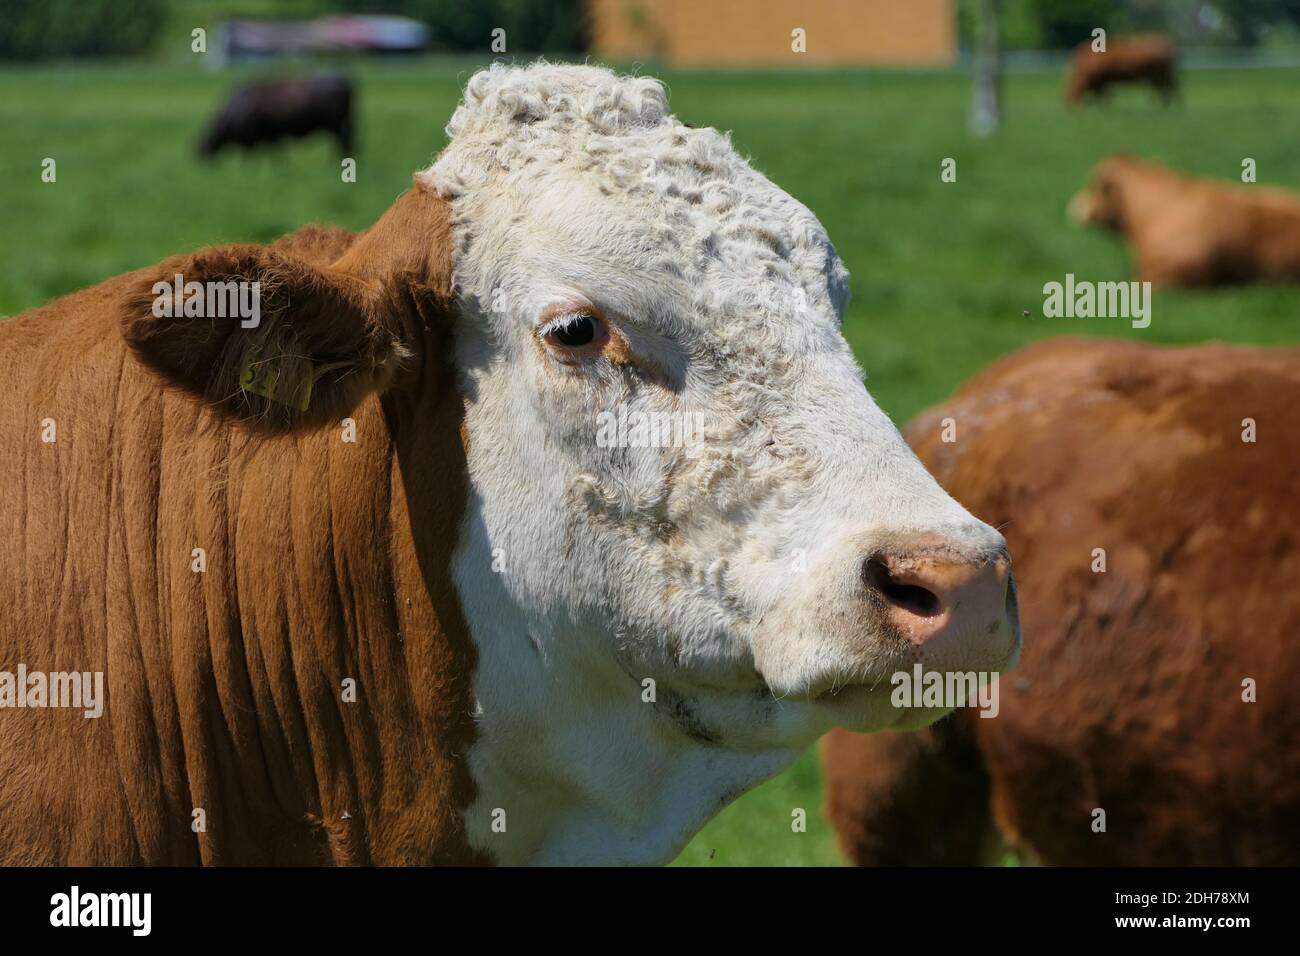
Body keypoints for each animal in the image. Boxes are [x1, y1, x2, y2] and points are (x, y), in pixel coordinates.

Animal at [197, 72, 354, 158]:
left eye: (205, 144)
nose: (199, 158)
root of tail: (343, 80)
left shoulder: (251, 141)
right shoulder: (272, 138)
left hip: (335, 127)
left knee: (341, 142)